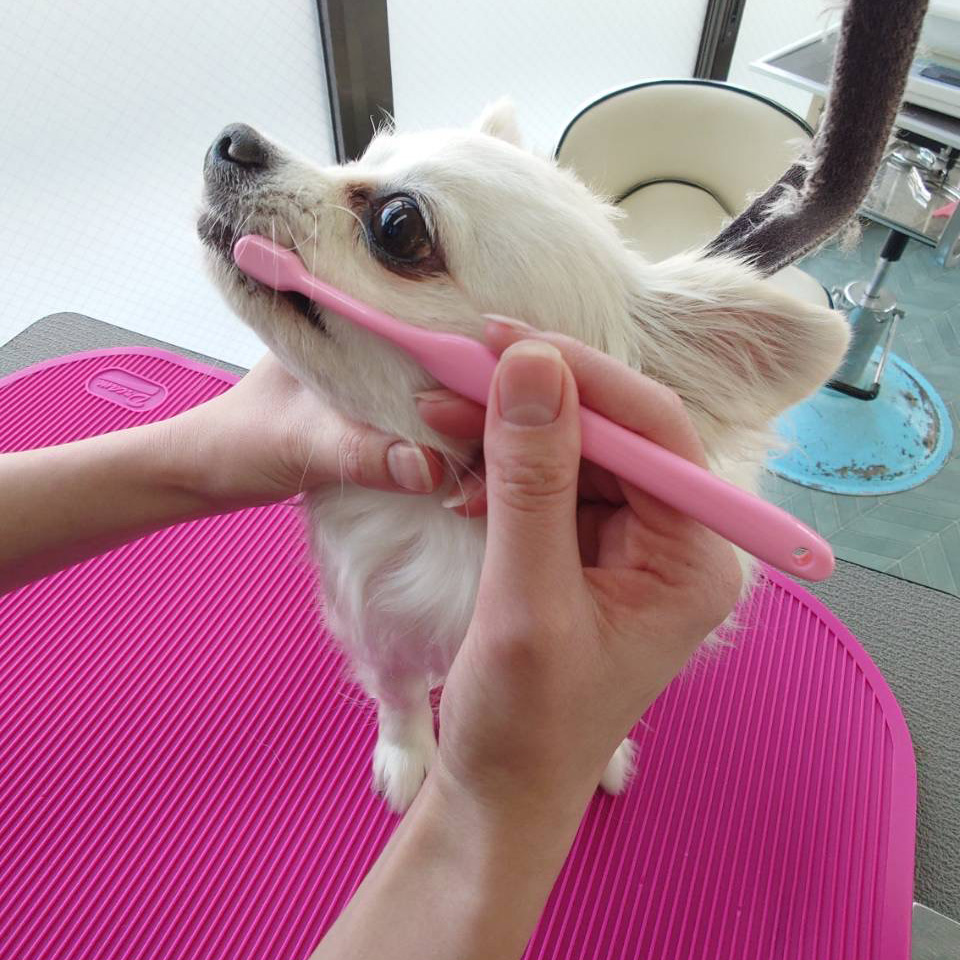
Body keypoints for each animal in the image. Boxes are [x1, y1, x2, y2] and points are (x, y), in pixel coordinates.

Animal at [197, 100, 849, 812]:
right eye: (358, 159)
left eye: (399, 225)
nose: (234, 137)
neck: (451, 536)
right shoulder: (378, 616)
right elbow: (398, 689)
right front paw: (408, 755)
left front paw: (598, 754)